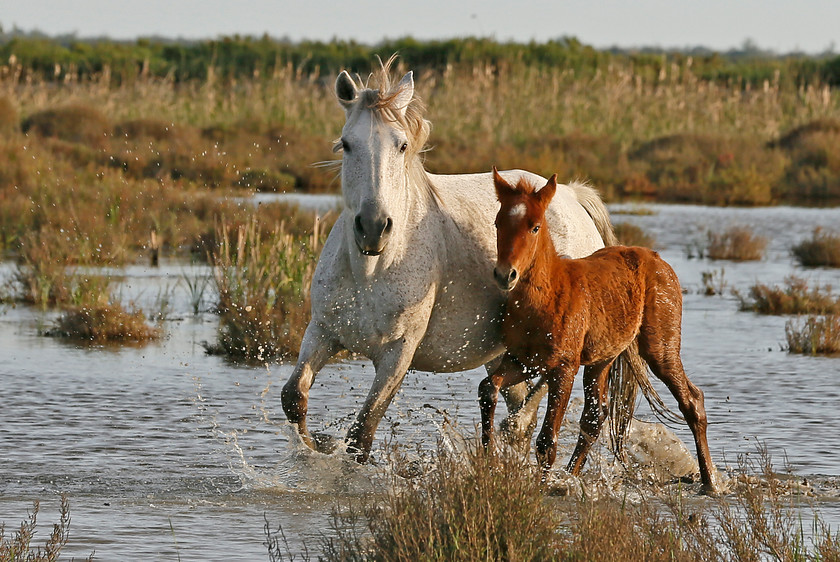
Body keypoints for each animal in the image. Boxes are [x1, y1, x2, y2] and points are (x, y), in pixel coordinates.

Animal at [282, 58, 644, 460]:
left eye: (402, 145)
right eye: (346, 144)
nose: (373, 227)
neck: (370, 272)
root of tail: (571, 195)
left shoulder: (397, 355)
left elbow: (362, 433)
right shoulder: (322, 331)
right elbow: (294, 399)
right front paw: (313, 448)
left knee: (533, 410)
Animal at [482, 168, 720, 492]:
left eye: (535, 227)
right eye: (498, 222)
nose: (505, 274)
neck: (548, 293)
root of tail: (656, 258)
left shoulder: (563, 367)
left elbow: (546, 440)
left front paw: (539, 490)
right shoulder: (523, 360)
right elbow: (488, 389)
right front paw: (488, 463)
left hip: (660, 348)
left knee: (692, 401)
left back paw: (710, 482)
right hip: (602, 358)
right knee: (595, 417)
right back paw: (571, 477)